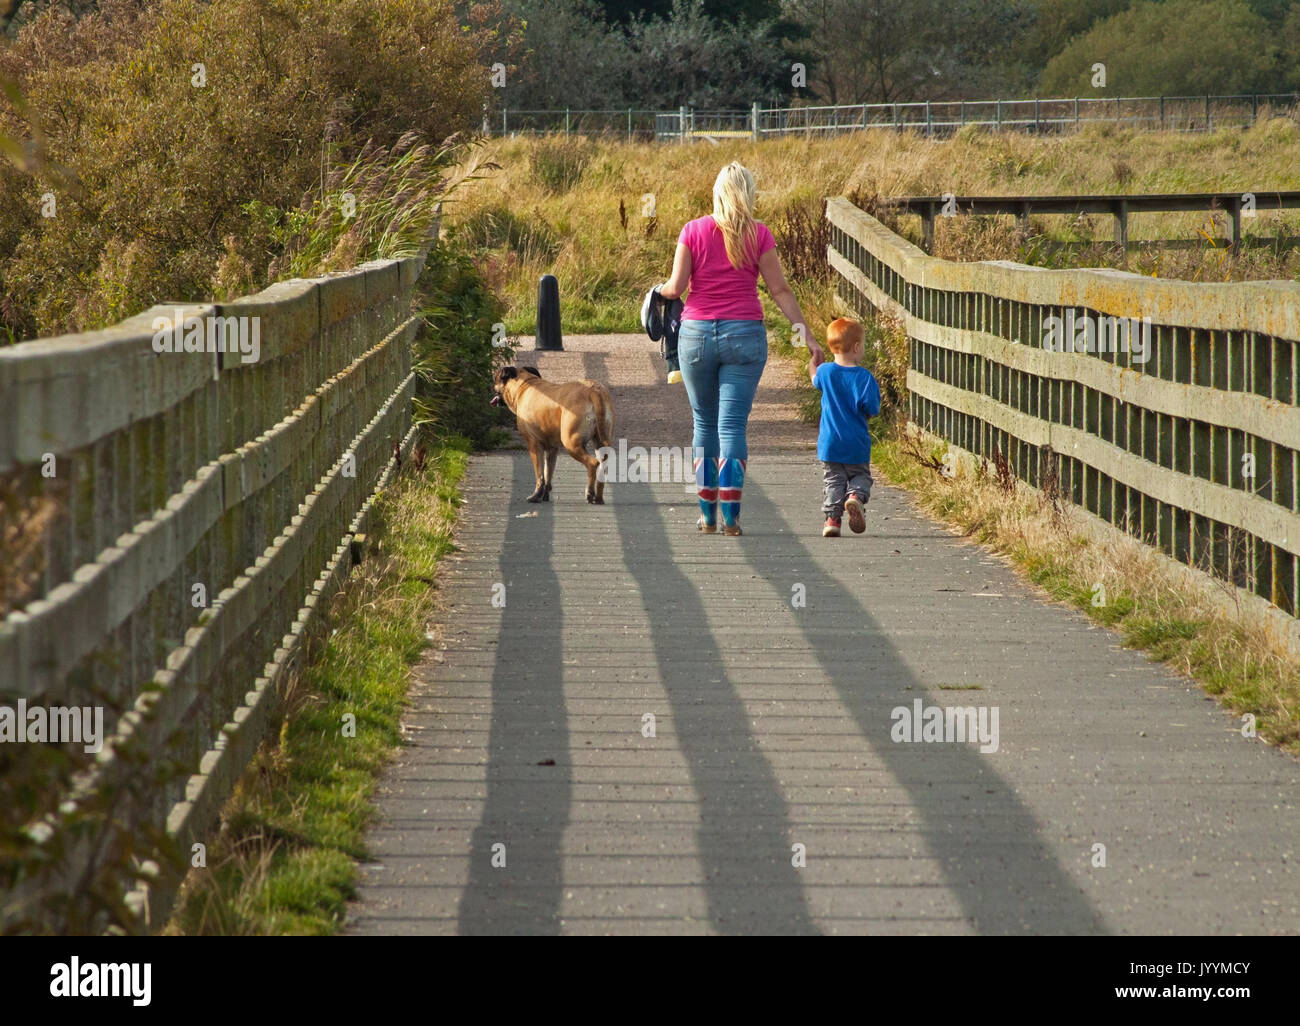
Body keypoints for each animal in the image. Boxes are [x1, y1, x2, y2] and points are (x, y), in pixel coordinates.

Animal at [491, 366, 613, 501]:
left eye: (495, 377)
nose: (492, 383)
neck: (523, 385)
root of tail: (593, 390)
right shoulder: (552, 449)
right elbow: (548, 473)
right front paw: (544, 494)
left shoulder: (534, 445)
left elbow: (539, 474)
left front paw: (536, 495)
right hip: (599, 442)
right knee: (603, 465)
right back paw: (599, 498)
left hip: (571, 443)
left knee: (592, 463)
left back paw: (590, 493)